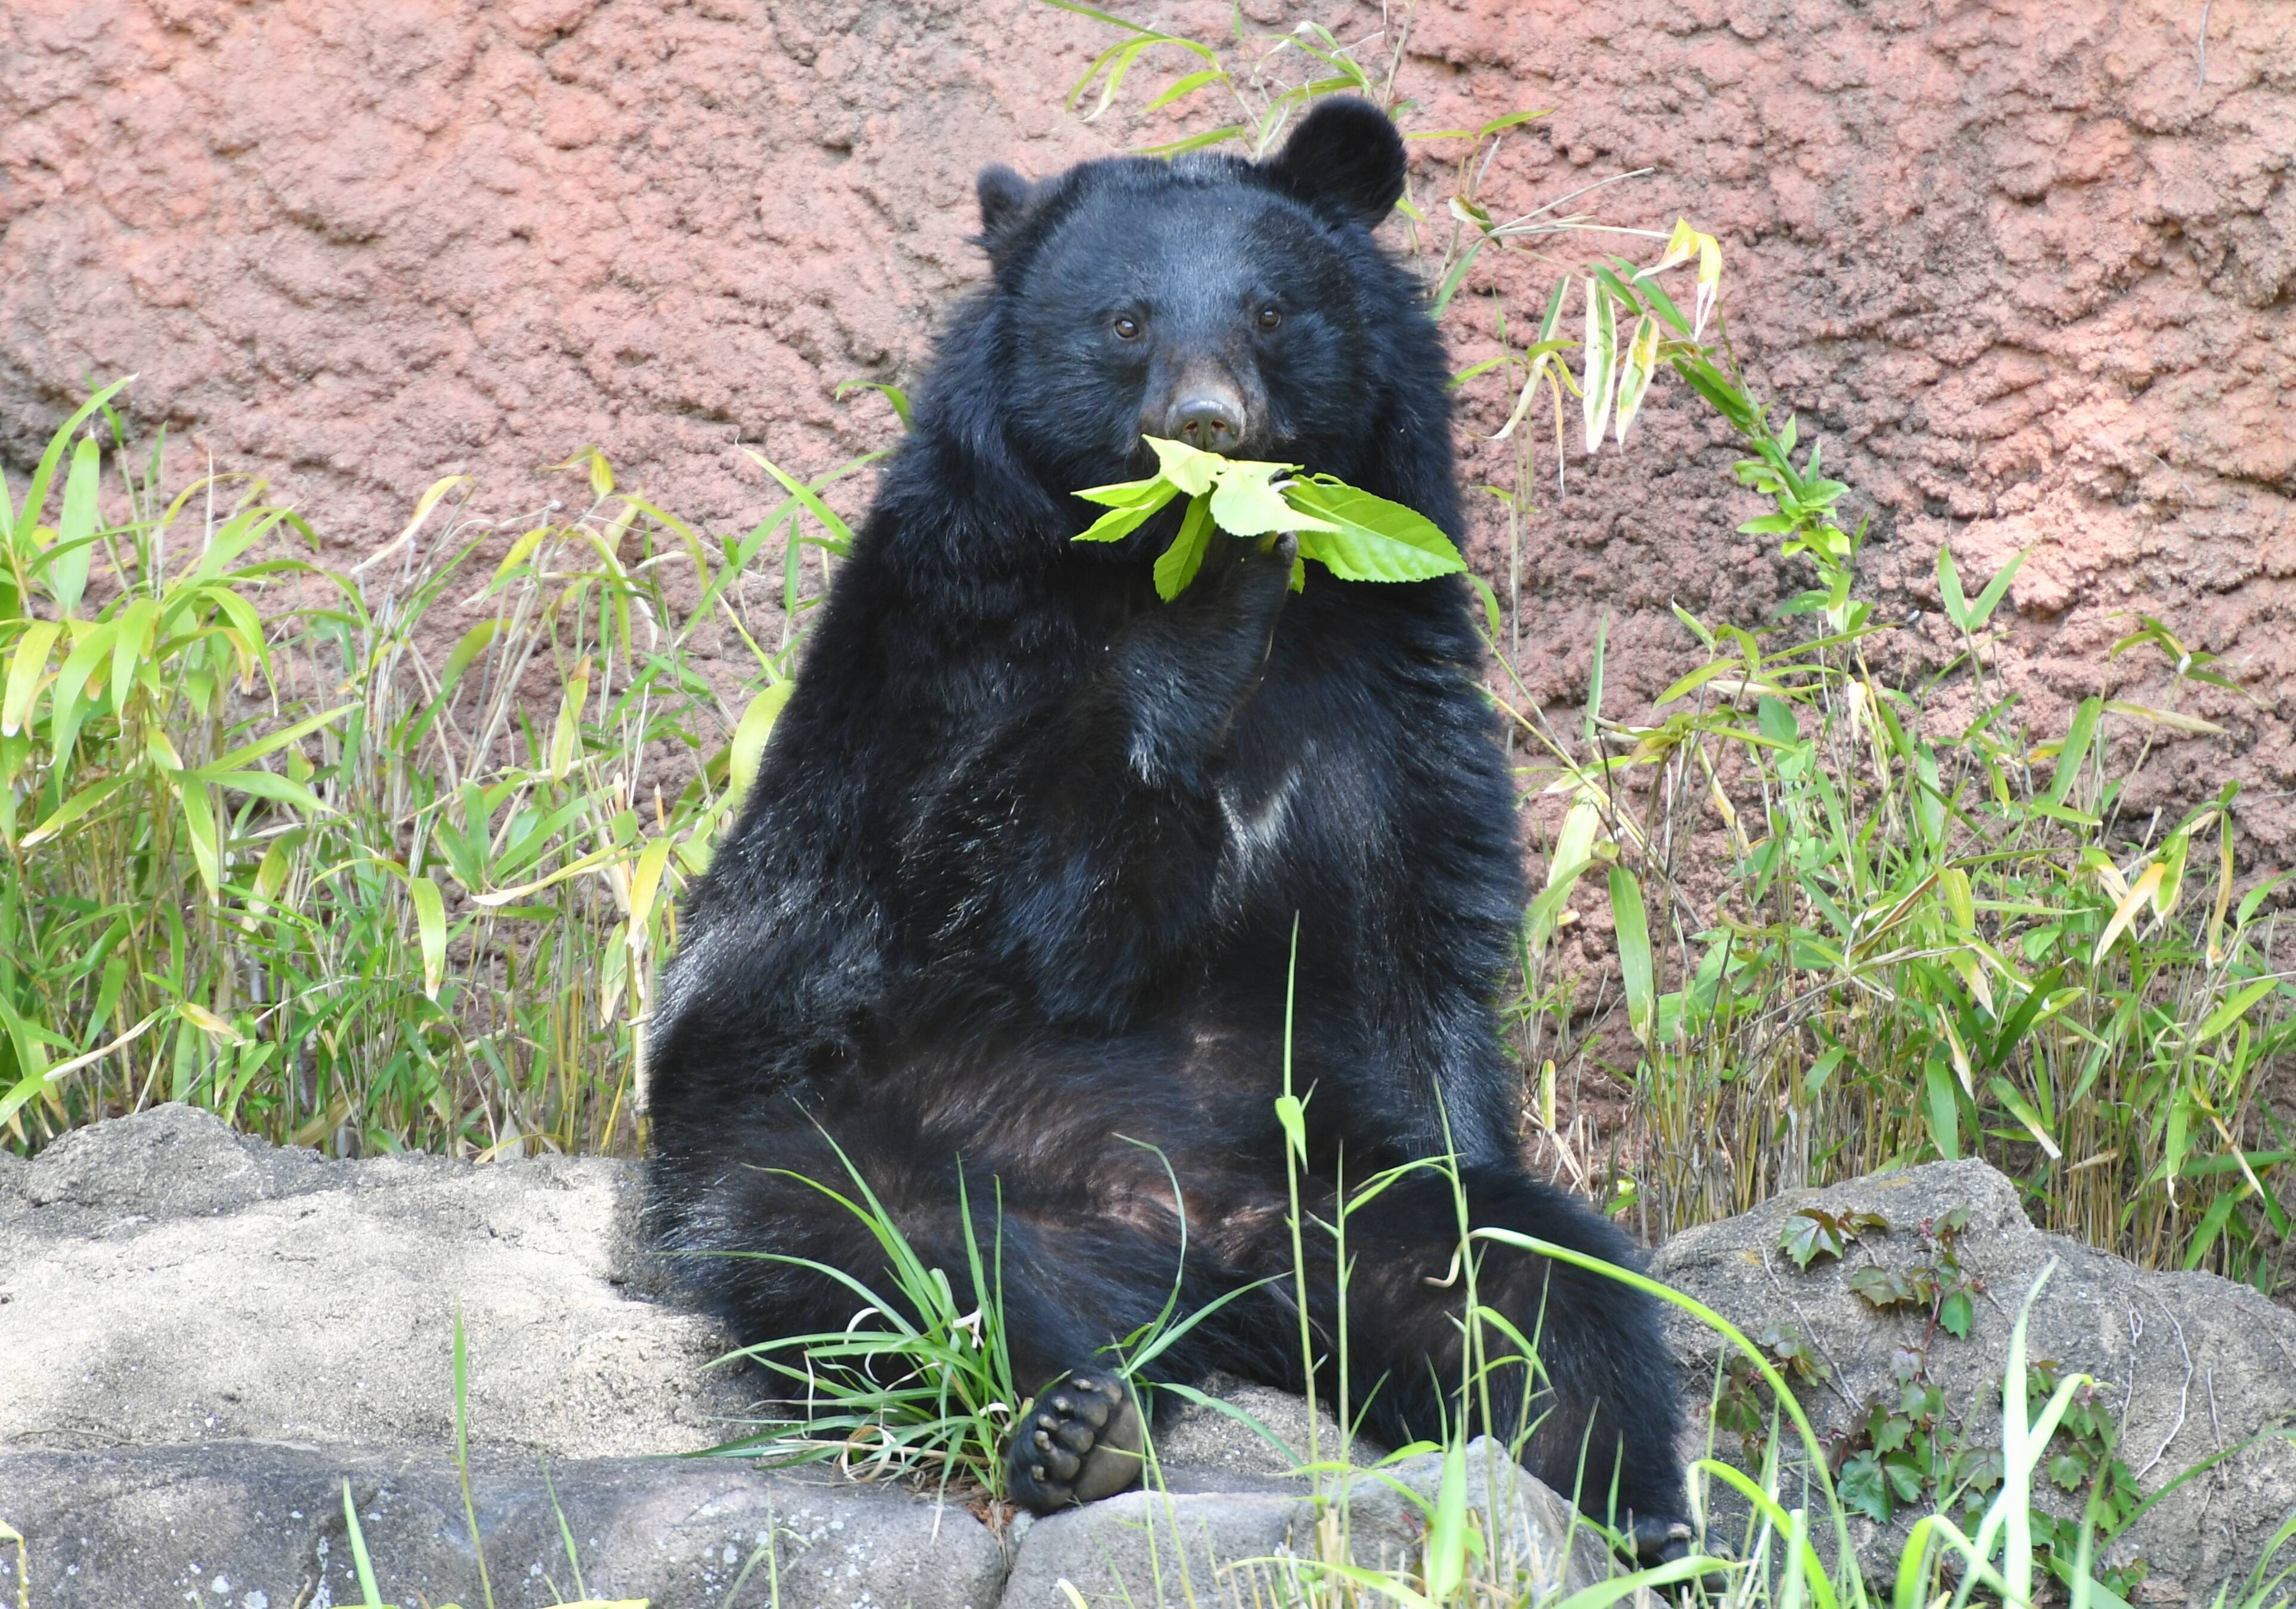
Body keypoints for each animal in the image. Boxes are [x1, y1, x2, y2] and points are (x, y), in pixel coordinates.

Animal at [642, 100, 1689, 1561]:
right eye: (1126, 322)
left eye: (1268, 312)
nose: (1209, 424)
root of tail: (1204, 1263)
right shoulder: (954, 661)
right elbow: (1007, 888)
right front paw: (1212, 587)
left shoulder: (1394, 686)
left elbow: (1422, 950)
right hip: (842, 1130)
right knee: (898, 1264)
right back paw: (1074, 1425)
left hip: (1336, 1194)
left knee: (1537, 1296)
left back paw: (1623, 1509)